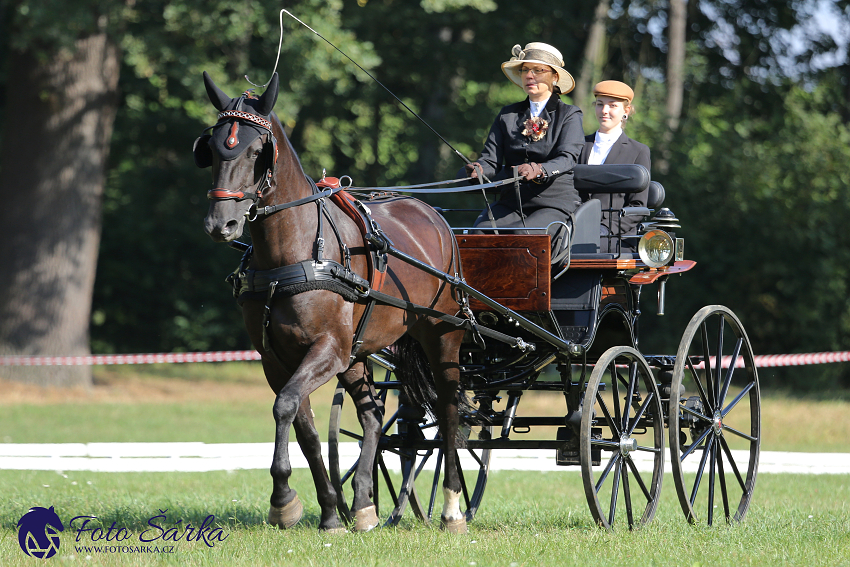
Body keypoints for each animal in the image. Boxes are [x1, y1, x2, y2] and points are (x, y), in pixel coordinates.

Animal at [195, 71, 468, 532]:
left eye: (255, 151)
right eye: (211, 148)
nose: (221, 224)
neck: (293, 252)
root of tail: (436, 217)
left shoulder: (327, 349)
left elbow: (285, 406)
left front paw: (283, 499)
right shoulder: (278, 357)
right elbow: (301, 424)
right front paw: (327, 511)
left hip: (441, 333)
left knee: (448, 412)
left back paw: (451, 508)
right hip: (357, 352)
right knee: (373, 416)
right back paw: (362, 504)